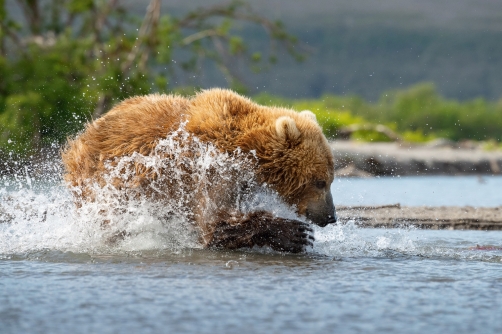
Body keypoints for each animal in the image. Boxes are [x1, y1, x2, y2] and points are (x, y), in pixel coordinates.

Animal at [62, 88, 338, 253]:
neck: (248, 155)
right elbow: (215, 223)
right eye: (320, 181)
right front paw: (296, 234)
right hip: (102, 181)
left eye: (329, 179)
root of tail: (85, 132)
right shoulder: (210, 170)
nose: (331, 215)